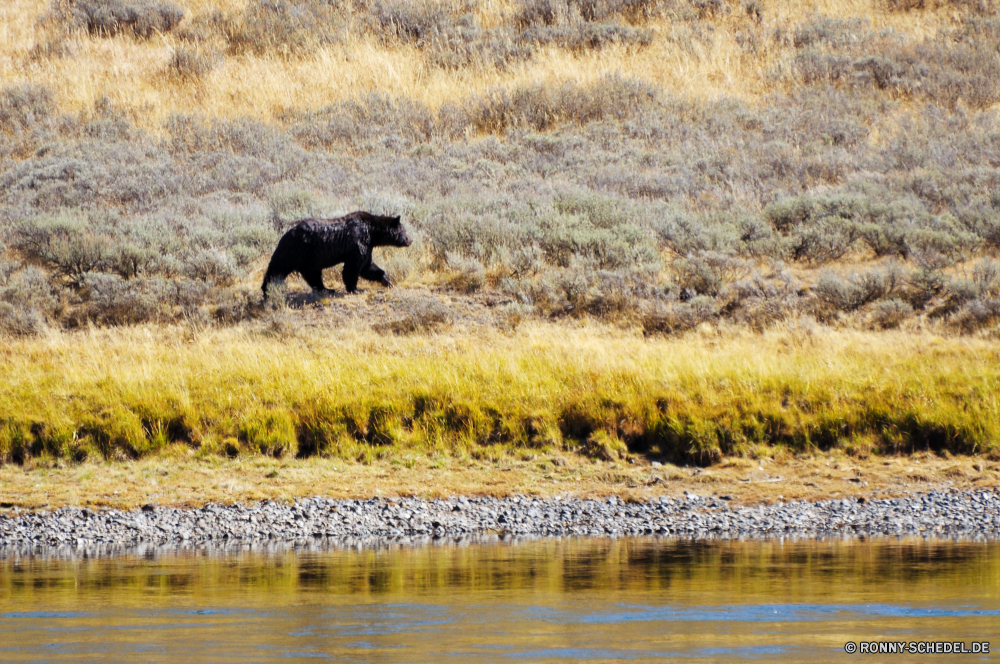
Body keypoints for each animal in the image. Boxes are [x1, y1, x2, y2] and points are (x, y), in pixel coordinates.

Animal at [264, 210, 412, 298]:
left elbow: (368, 266)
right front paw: (355, 289)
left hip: (310, 258)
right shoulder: (357, 240)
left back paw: (326, 289)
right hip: (294, 250)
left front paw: (387, 280)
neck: (372, 232)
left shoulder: (367, 246)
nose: (410, 240)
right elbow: (353, 267)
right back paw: (267, 291)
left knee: (313, 275)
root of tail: (287, 232)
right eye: (404, 231)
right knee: (277, 268)